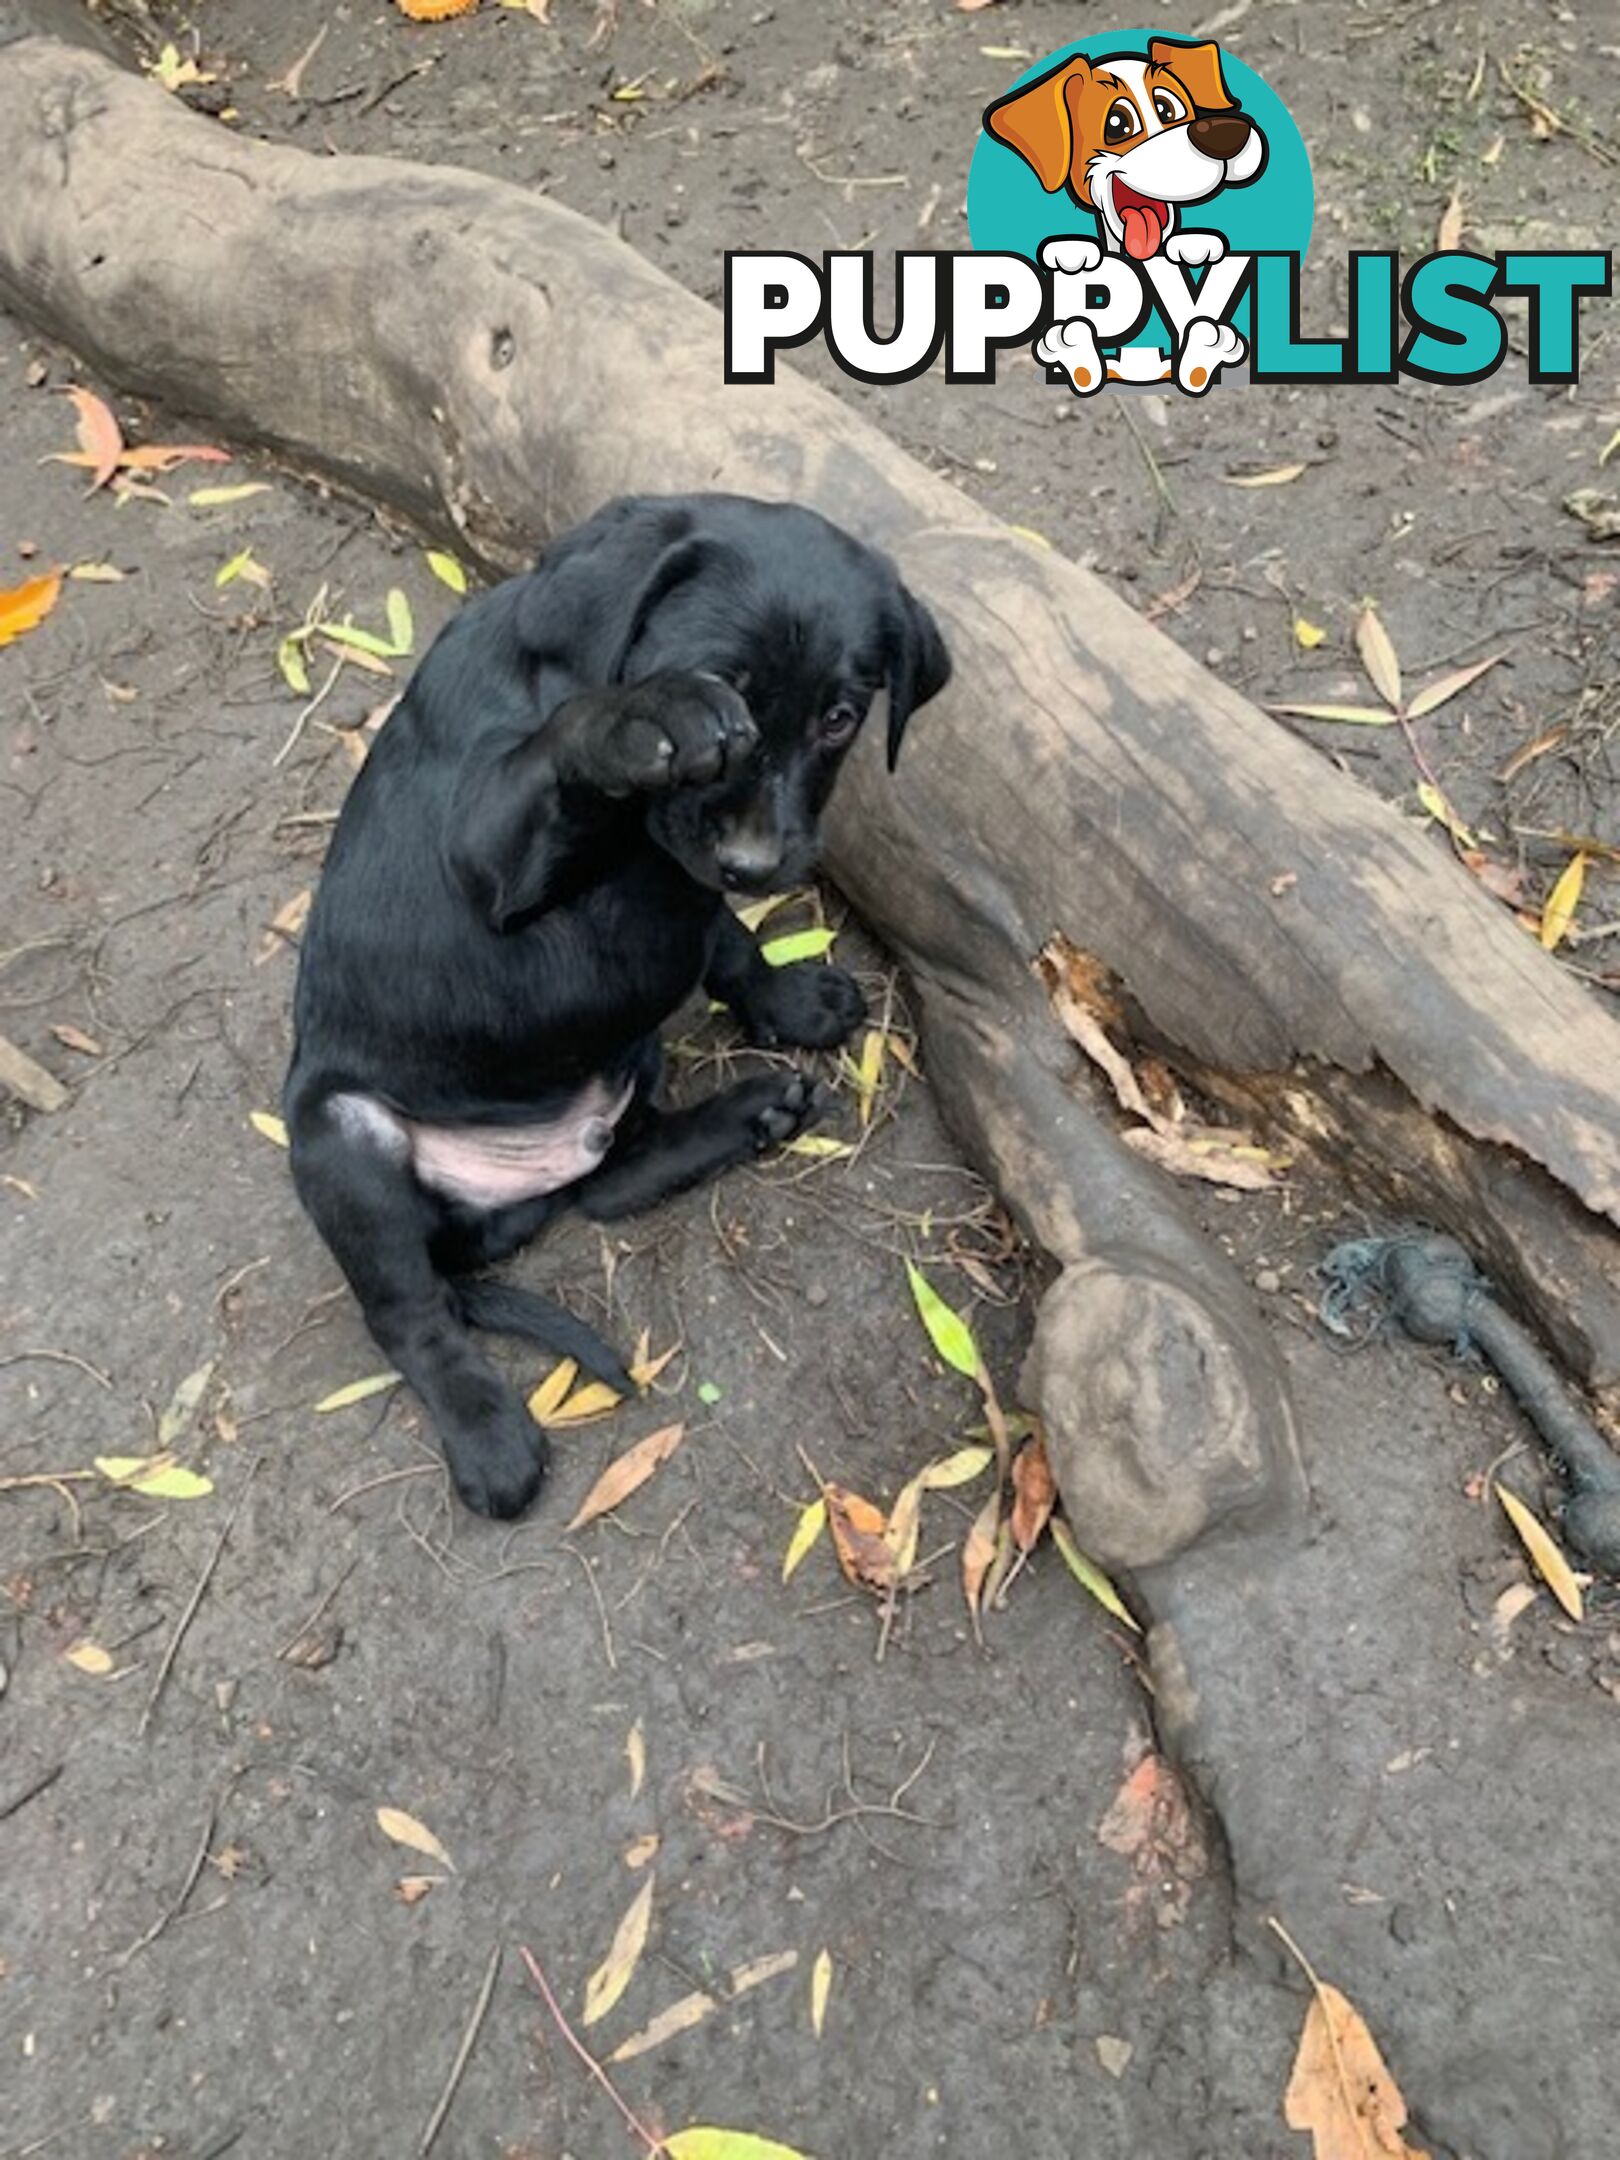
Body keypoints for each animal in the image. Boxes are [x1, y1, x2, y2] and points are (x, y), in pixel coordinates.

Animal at [287, 494, 959, 1520]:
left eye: (840, 719)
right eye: (722, 695)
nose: (757, 862)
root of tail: (506, 1196)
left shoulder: (683, 890)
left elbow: (727, 942)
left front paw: (792, 1000)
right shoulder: (491, 857)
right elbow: (567, 757)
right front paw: (639, 717)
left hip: (623, 1060)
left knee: (610, 1178)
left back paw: (748, 1114)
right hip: (342, 1138)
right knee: (409, 1313)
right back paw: (489, 1437)